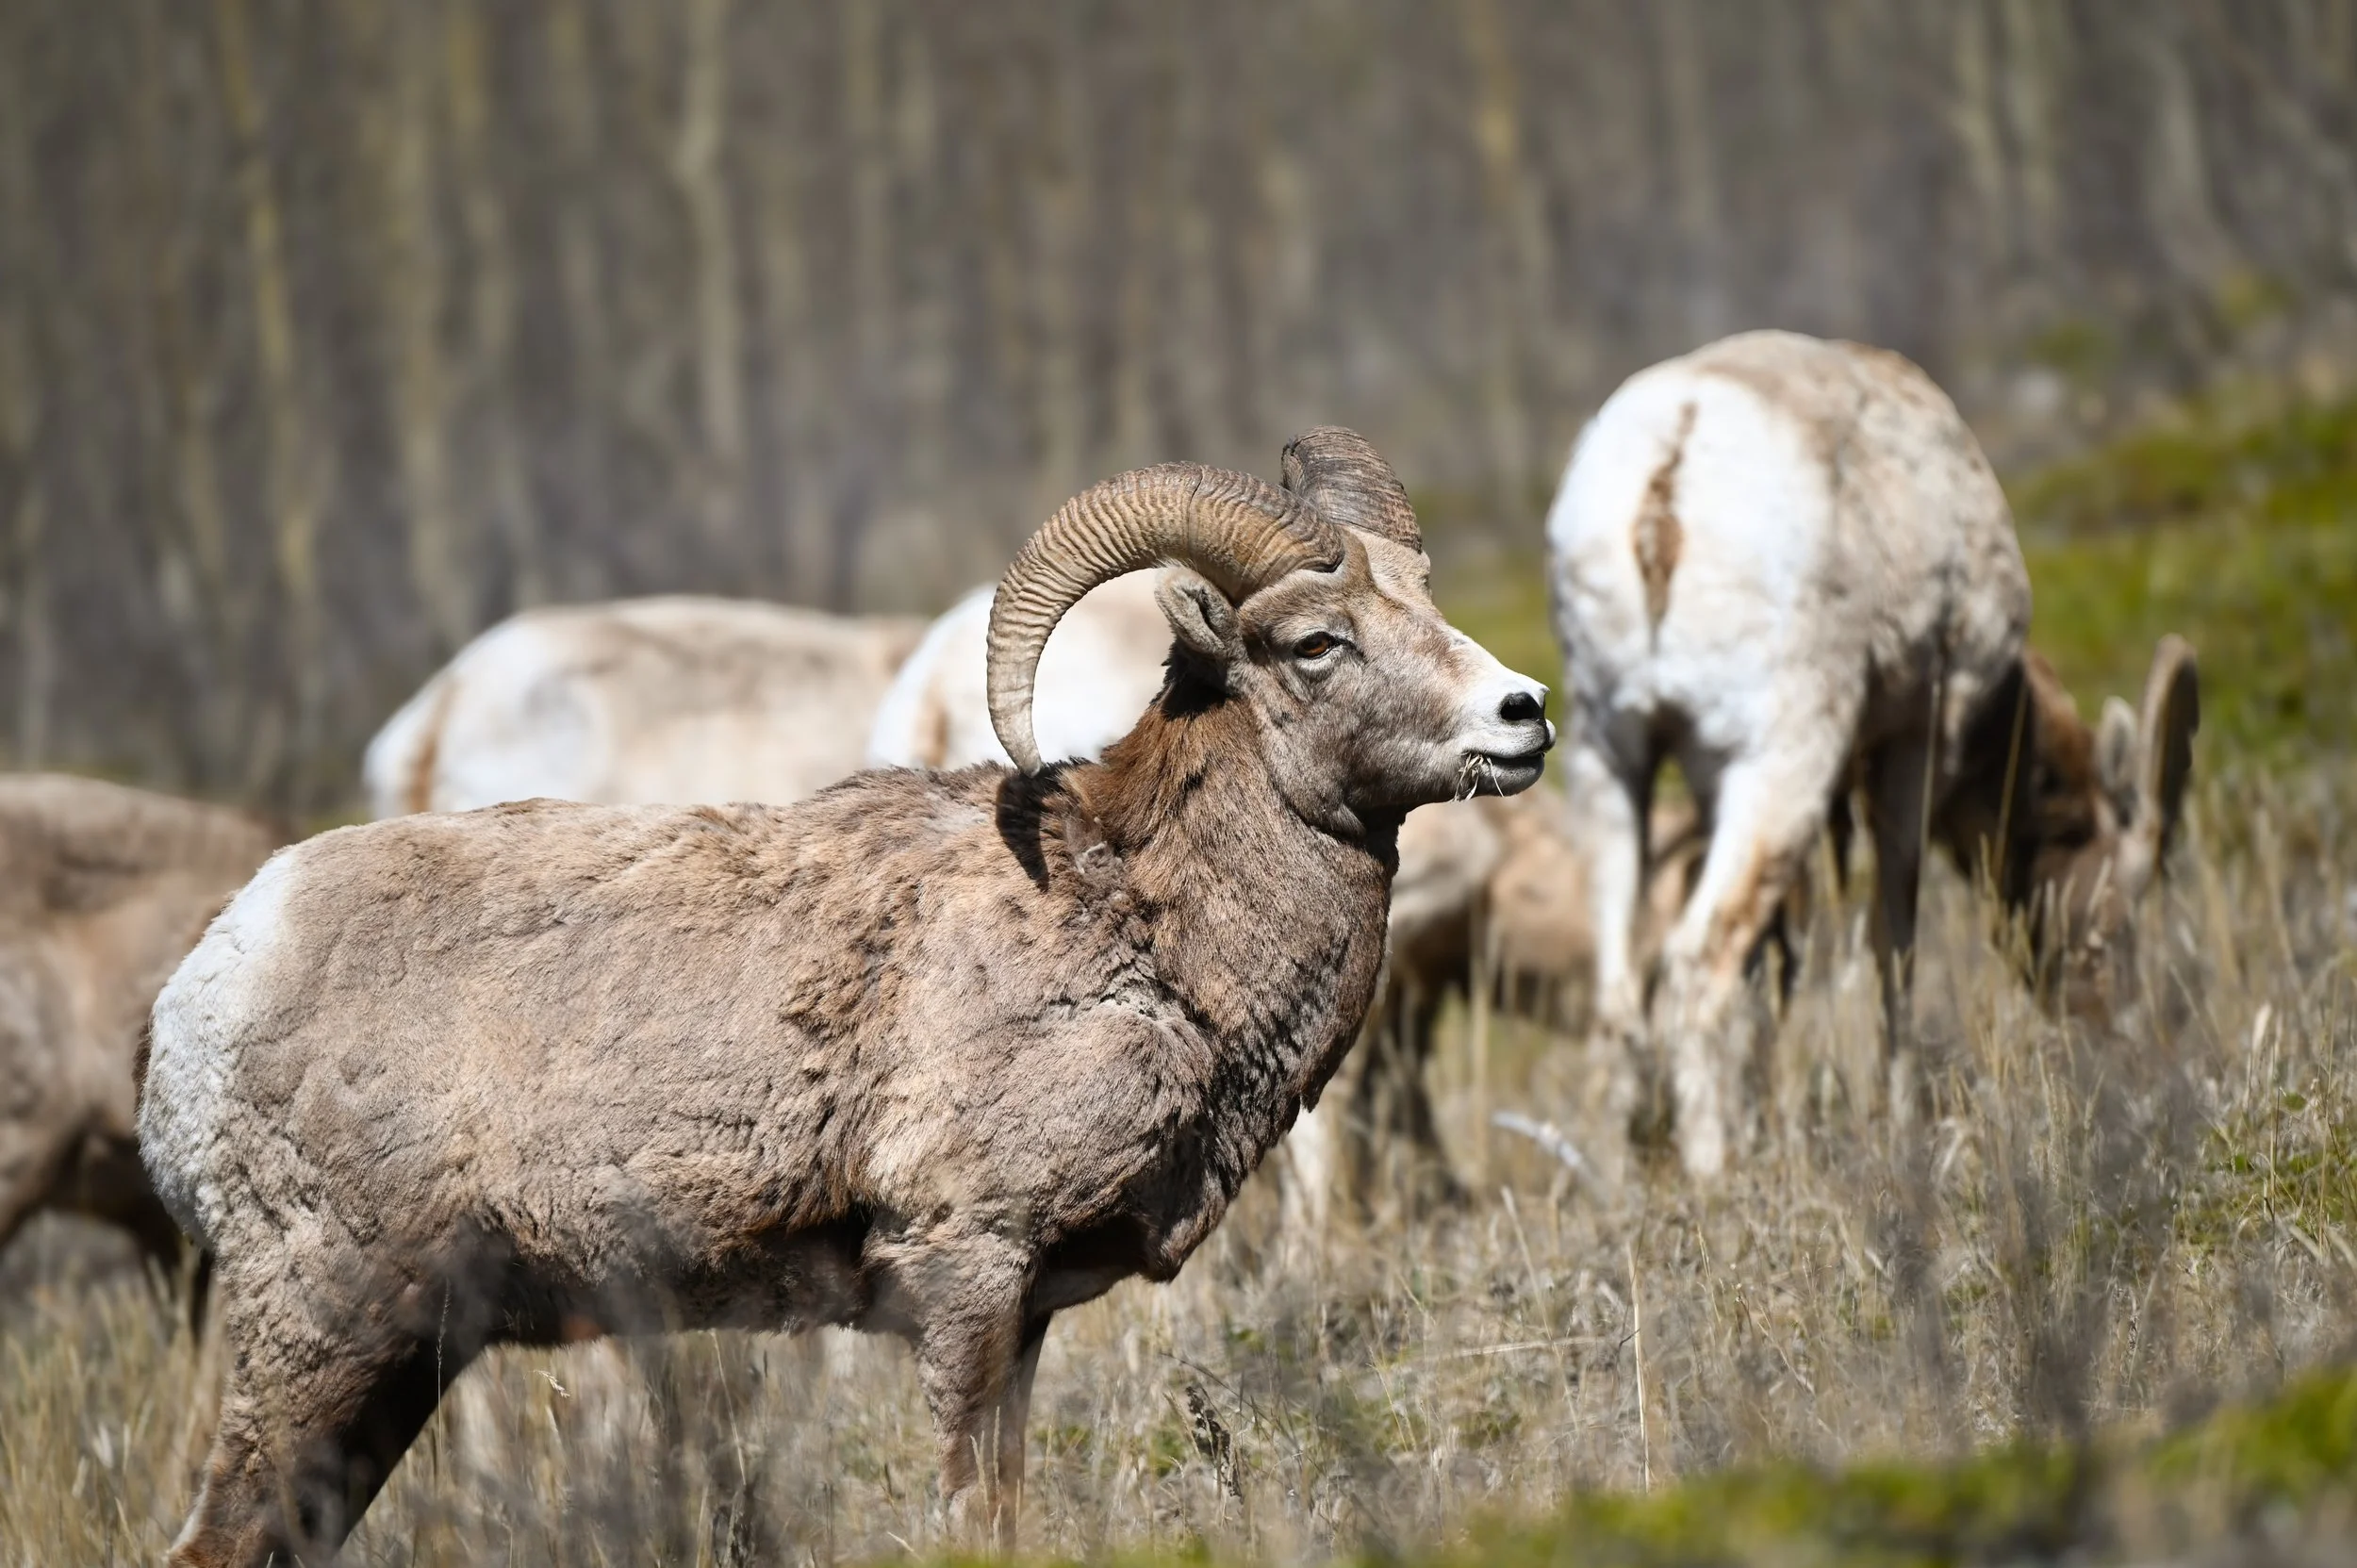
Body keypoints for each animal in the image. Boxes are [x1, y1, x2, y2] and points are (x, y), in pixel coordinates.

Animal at [1547, 330, 2199, 1178]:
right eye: (2126, 901)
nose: (2117, 1029)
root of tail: (1666, 481)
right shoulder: (1912, 749)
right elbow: (1896, 941)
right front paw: (1900, 1119)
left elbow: (1782, 960)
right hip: (1781, 759)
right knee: (1698, 964)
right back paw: (1715, 1171)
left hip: (1607, 757)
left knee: (1620, 990)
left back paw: (1615, 1180)